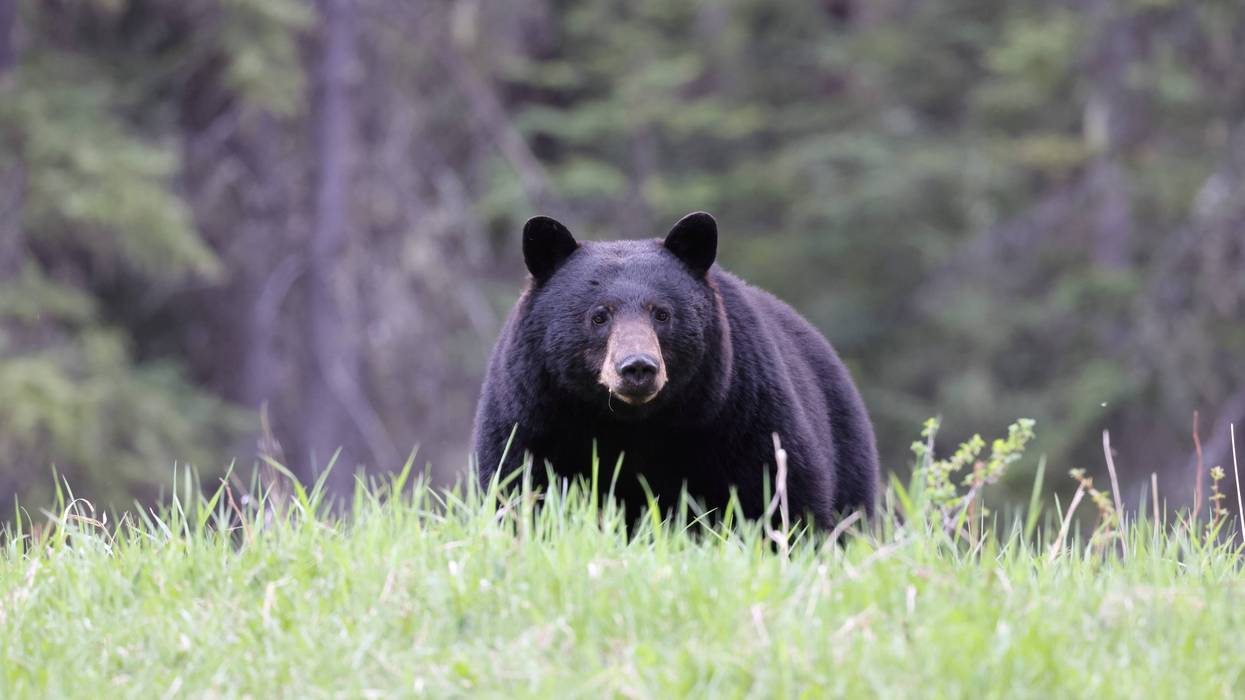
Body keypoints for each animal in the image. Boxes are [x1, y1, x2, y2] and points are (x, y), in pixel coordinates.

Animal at [471, 211, 880, 527]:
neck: (632, 425)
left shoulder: (742, 413)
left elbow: (779, 495)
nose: (637, 367)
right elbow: (518, 490)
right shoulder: (534, 418)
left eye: (662, 313)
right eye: (599, 315)